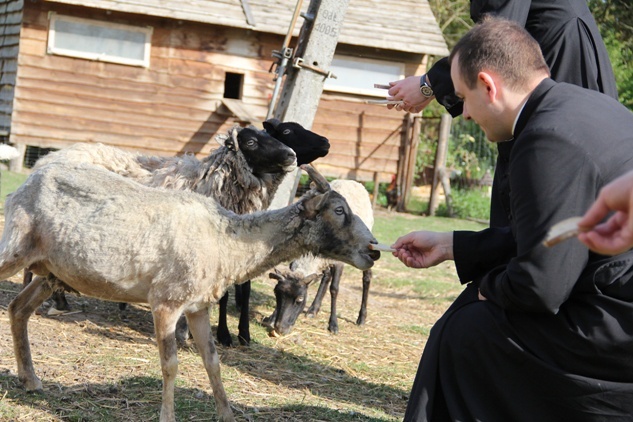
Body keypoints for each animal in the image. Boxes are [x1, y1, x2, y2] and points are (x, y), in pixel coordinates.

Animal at [266, 181, 376, 336]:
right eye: (277, 295)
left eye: (300, 300)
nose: (280, 328)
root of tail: (353, 182)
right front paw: (271, 317)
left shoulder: (338, 262)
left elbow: (334, 289)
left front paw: (333, 325)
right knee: (326, 276)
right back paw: (313, 309)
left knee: (366, 277)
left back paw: (361, 318)